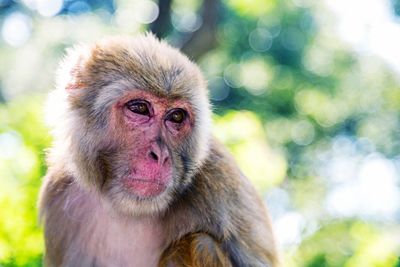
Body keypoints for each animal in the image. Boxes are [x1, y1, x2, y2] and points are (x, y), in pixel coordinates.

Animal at [39, 34, 278, 267]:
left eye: (176, 116)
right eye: (139, 108)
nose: (161, 155)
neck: (129, 208)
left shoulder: (222, 182)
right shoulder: (58, 195)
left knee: (199, 244)